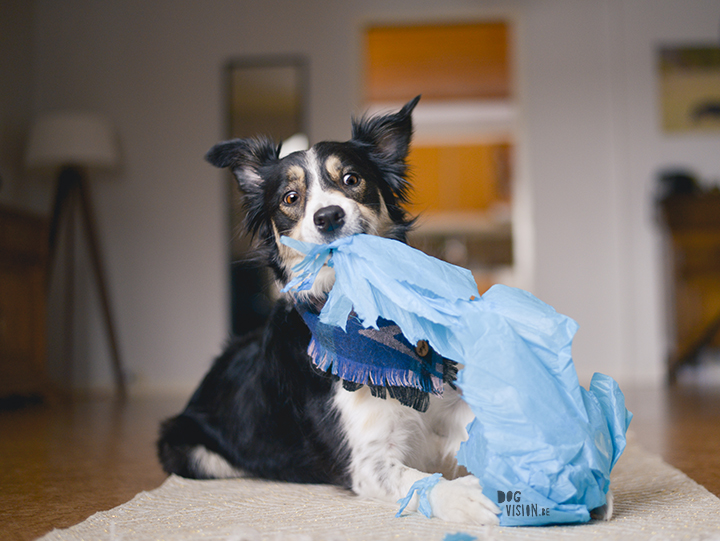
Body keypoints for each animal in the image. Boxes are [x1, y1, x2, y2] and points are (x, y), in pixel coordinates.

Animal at [158, 97, 612, 524]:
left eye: (351, 179)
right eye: (290, 198)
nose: (328, 216)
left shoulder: (448, 401)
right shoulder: (365, 460)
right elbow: (417, 479)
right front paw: (464, 496)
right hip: (188, 449)